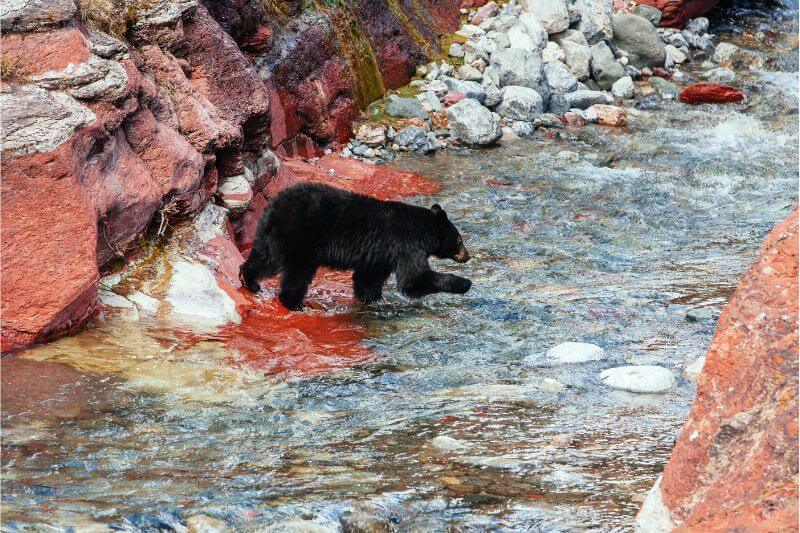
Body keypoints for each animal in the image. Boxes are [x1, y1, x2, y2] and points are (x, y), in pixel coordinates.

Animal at [241, 182, 472, 310]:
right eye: (460, 240)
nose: (467, 256)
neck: (423, 229)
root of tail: (275, 204)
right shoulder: (407, 244)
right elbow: (413, 278)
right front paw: (464, 283)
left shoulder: (381, 255)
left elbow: (367, 278)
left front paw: (372, 299)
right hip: (300, 238)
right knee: (297, 273)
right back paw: (294, 303)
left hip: (271, 234)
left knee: (264, 258)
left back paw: (248, 279)